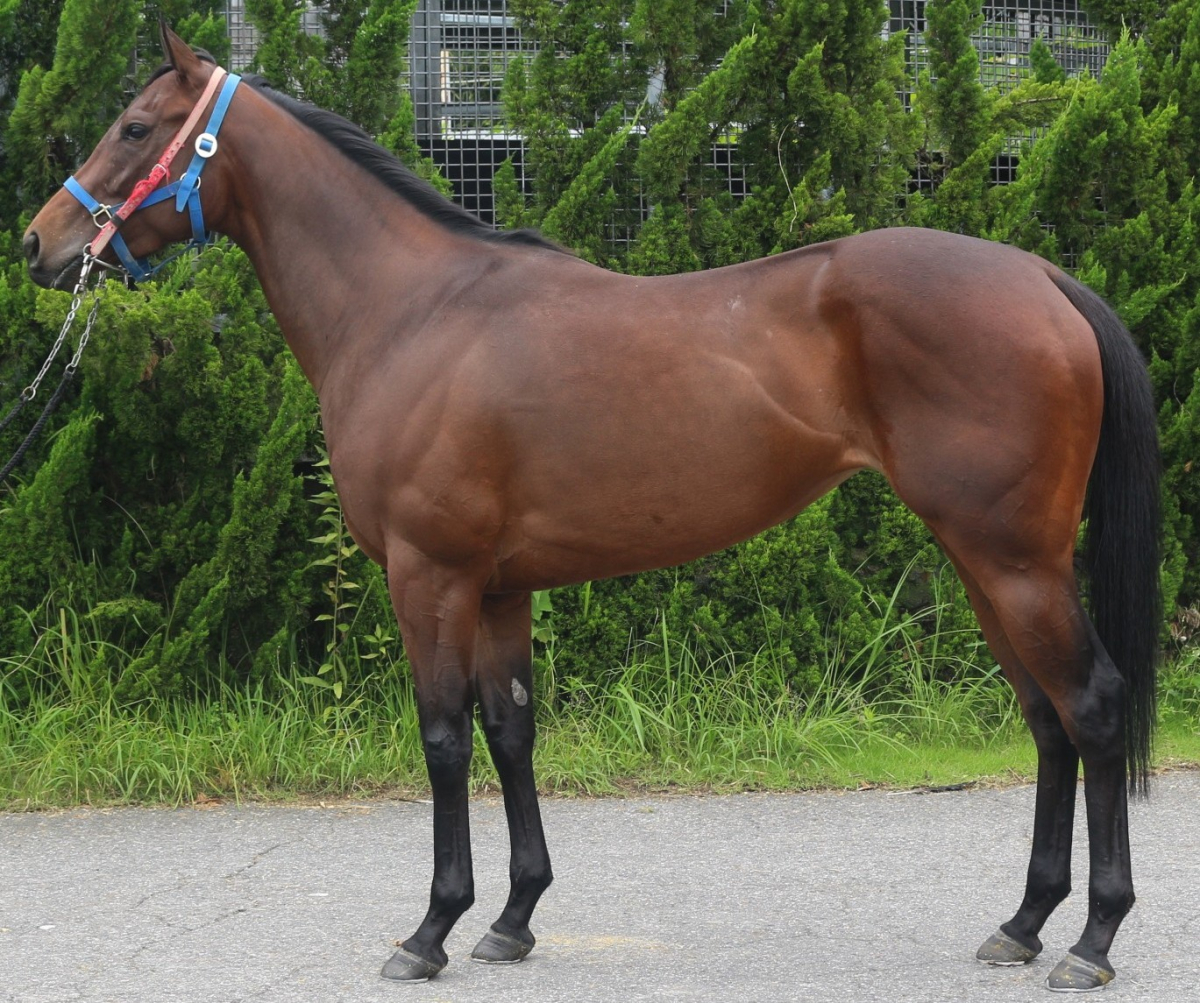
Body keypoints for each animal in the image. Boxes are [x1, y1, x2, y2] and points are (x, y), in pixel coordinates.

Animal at [24, 23, 1160, 993]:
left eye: (135, 127)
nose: (40, 242)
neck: (411, 313)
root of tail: (1044, 278)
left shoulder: (429, 574)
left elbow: (443, 737)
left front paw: (430, 931)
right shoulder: (497, 587)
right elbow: (511, 729)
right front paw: (512, 919)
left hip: (1013, 560)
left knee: (1093, 707)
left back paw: (1093, 938)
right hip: (986, 563)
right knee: (1047, 719)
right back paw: (1023, 923)